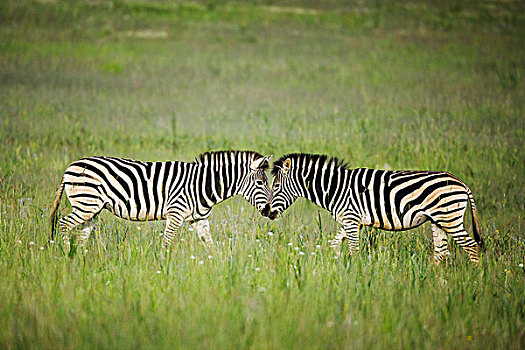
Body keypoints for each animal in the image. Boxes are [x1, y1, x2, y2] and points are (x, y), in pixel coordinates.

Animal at [49, 150, 272, 246]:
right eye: (261, 183)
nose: (272, 212)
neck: (202, 184)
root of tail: (70, 167)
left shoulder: (199, 219)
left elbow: (210, 244)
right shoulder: (176, 213)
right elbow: (166, 242)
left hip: (93, 208)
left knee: (82, 234)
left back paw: (80, 260)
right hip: (86, 203)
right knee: (63, 224)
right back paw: (66, 253)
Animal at [262, 154, 484, 264]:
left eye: (276, 186)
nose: (265, 212)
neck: (335, 187)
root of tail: (462, 184)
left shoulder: (351, 219)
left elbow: (354, 250)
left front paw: (353, 273)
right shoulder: (351, 221)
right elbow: (335, 244)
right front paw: (335, 265)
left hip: (450, 218)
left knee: (471, 246)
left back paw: (475, 279)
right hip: (439, 221)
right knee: (441, 252)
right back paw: (437, 282)